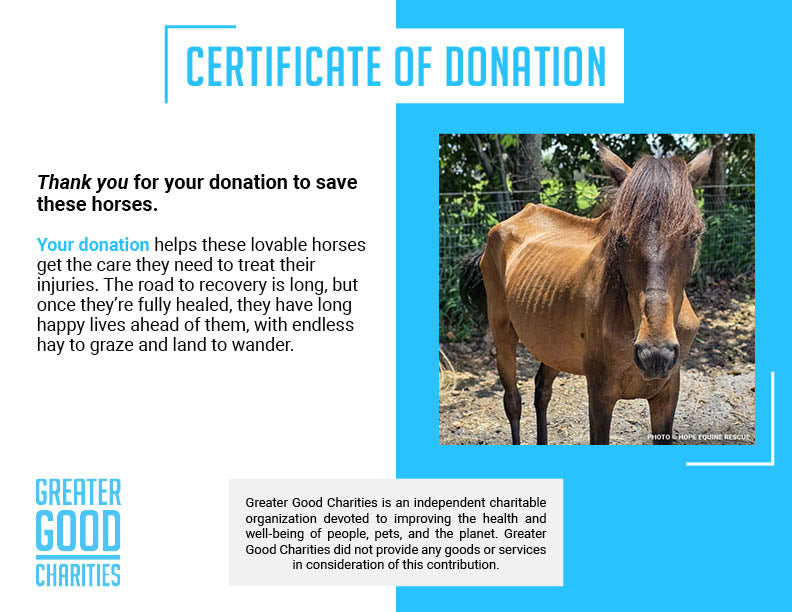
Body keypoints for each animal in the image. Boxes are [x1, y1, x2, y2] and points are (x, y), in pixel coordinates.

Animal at [459, 143, 712, 445]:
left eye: (694, 236)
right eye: (620, 238)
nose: (655, 355)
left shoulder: (666, 396)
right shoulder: (600, 396)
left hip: (552, 346)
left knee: (542, 391)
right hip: (503, 334)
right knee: (513, 402)